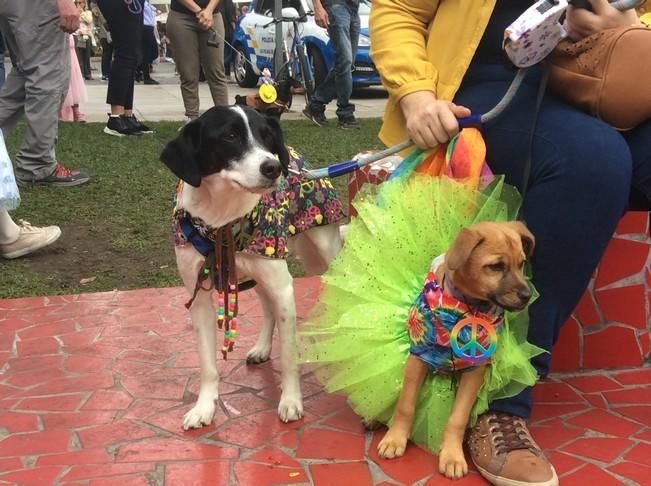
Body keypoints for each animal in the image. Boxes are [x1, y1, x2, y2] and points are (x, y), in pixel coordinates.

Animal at [162, 106, 306, 430]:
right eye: (229, 136)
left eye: (267, 136)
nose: (273, 167)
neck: (223, 216)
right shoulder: (199, 297)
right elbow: (207, 364)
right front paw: (204, 407)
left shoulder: (283, 287)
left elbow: (289, 355)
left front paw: (291, 401)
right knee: (267, 308)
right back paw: (262, 348)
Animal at [376, 222, 536, 480]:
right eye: (496, 266)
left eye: (521, 263)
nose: (527, 296)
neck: (466, 308)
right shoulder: (418, 357)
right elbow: (405, 405)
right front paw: (395, 439)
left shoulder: (475, 369)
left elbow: (457, 419)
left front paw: (452, 456)